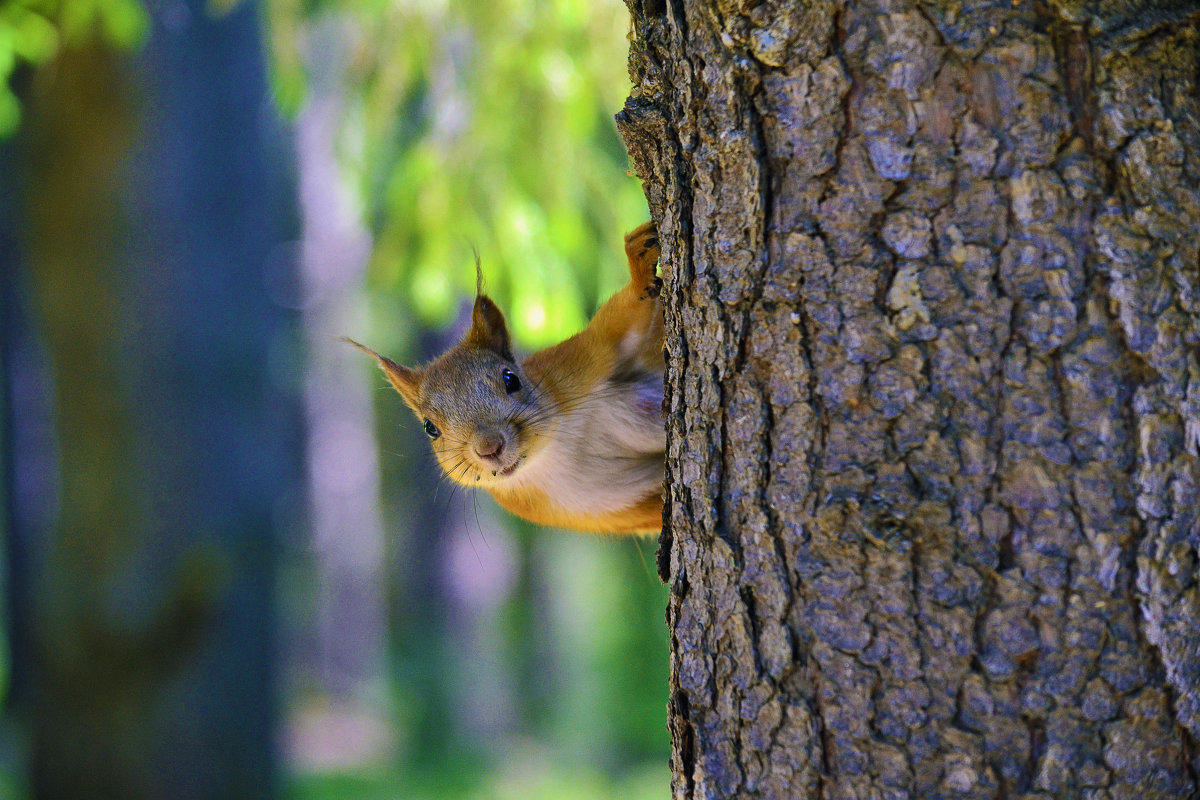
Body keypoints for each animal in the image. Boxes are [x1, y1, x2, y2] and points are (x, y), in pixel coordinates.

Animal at [348, 221, 667, 534]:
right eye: (430, 428)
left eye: (511, 379)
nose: (489, 447)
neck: (550, 457)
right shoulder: (609, 511)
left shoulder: (580, 362)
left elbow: (624, 323)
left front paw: (639, 260)